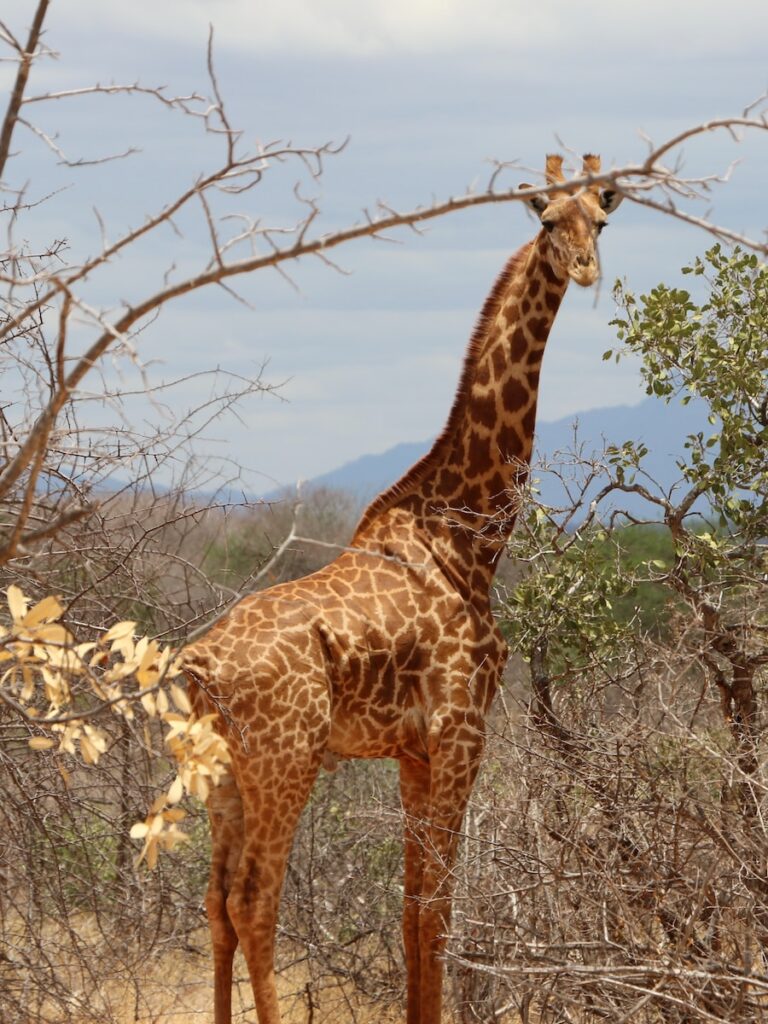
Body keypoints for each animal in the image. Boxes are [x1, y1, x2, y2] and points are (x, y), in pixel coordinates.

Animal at [183, 153, 623, 1024]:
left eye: (601, 216)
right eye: (546, 218)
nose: (586, 267)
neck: (471, 536)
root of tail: (197, 668)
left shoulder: (414, 751)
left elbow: (413, 904)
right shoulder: (461, 730)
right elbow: (439, 907)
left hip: (223, 776)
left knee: (215, 903)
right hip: (287, 760)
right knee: (256, 901)